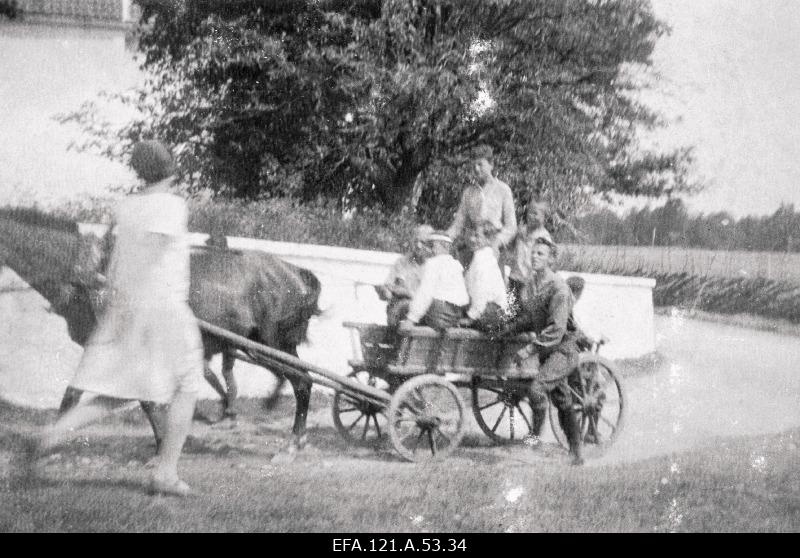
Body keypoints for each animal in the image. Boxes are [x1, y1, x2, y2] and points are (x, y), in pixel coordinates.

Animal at [0, 209, 318, 456]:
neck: (92, 276)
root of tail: (296, 272)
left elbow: (120, 397)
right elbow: (82, 393)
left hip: (271, 343)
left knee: (302, 380)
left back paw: (292, 441)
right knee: (302, 380)